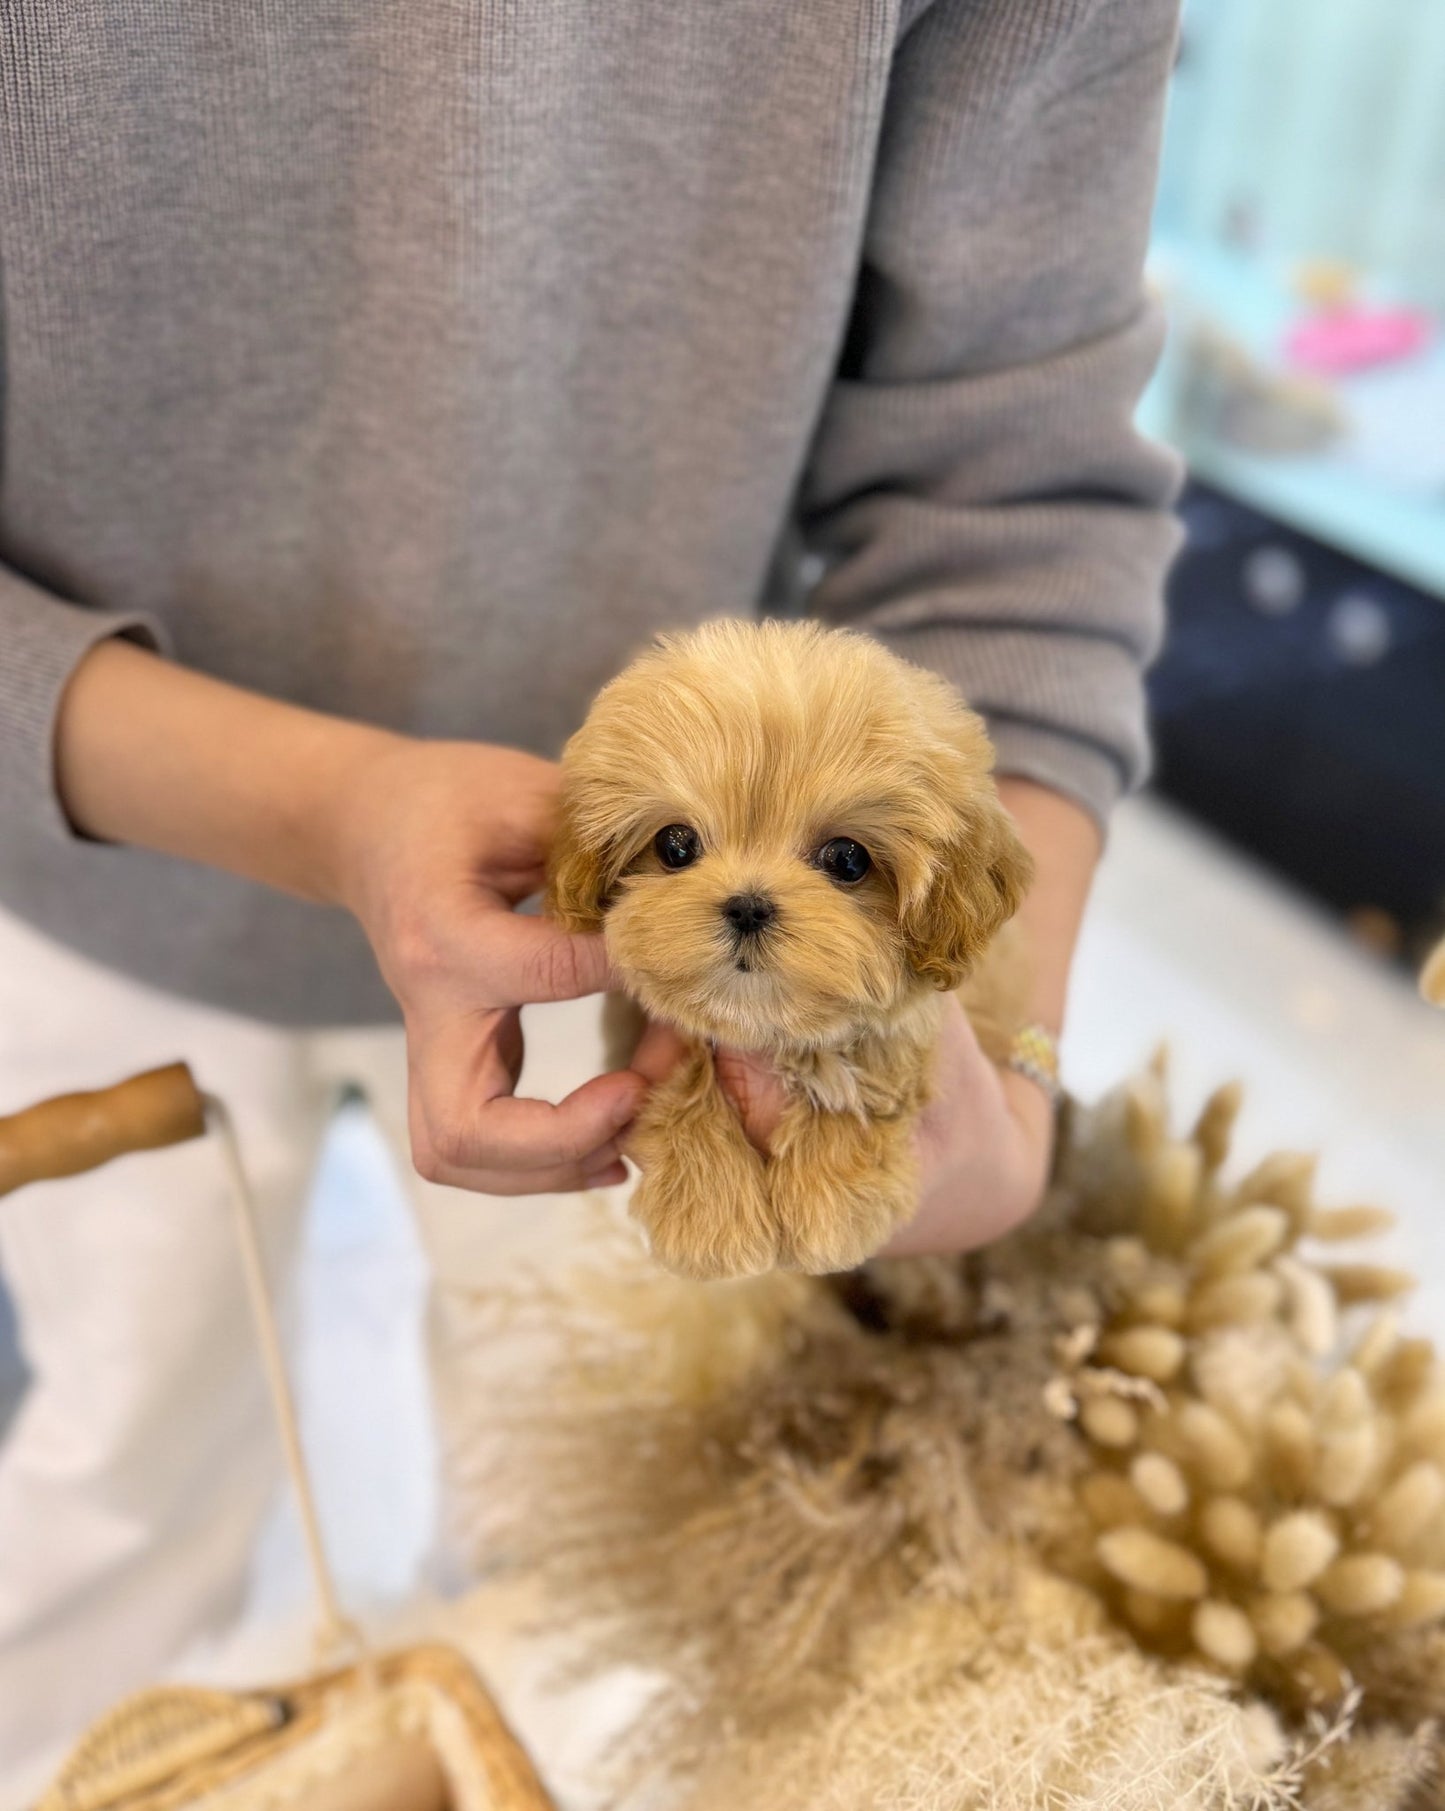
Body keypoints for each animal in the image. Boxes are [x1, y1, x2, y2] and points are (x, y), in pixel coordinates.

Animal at [543, 622, 1028, 1289]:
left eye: (847, 859)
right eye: (675, 845)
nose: (747, 906)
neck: (763, 1027)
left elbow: (867, 1070)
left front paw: (831, 1202)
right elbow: (683, 1079)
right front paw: (708, 1216)